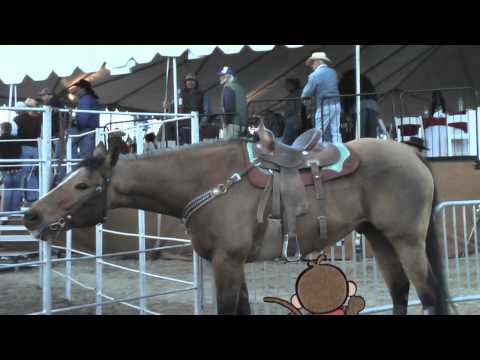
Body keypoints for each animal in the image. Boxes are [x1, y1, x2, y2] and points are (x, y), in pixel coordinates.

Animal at [22, 130, 450, 316]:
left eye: (82, 184)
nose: (31, 215)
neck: (210, 181)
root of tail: (413, 155)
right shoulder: (233, 263)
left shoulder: (226, 262)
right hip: (379, 237)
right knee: (400, 291)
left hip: (407, 239)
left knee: (428, 295)